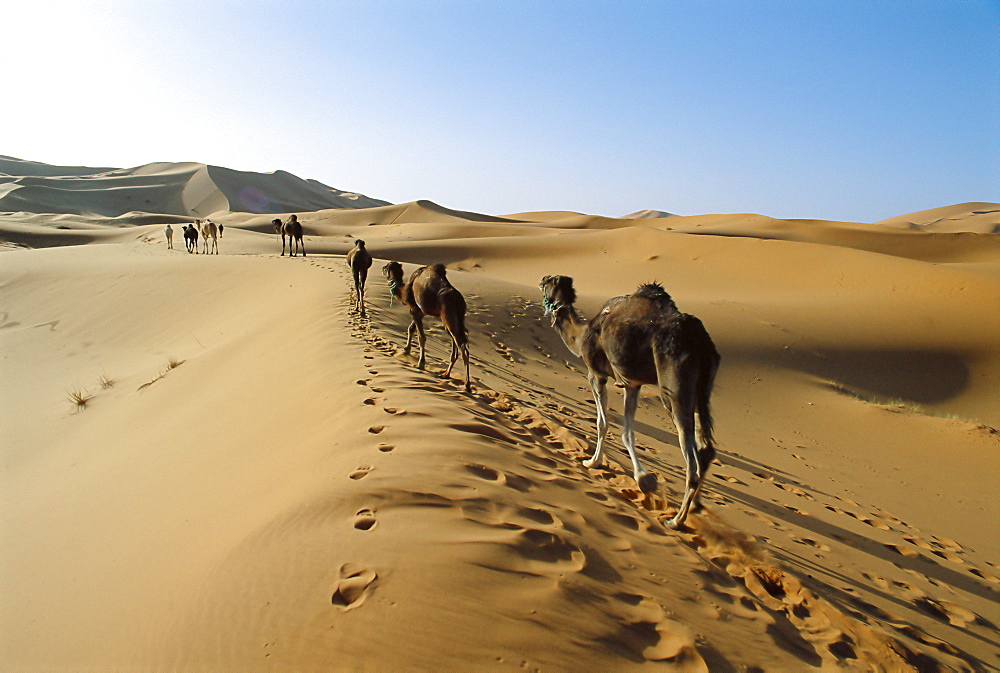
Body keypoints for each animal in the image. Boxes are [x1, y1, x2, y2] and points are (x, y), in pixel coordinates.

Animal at [386, 260, 472, 392]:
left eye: (386, 266)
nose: (382, 268)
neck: (405, 289)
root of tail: (459, 301)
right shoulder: (419, 311)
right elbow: (411, 328)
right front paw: (406, 349)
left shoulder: (414, 309)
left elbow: (421, 337)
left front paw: (420, 364)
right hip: (455, 320)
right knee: (456, 347)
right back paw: (446, 374)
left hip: (449, 317)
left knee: (463, 348)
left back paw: (467, 385)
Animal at [540, 276, 720, 528]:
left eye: (546, 282)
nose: (540, 280)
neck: (582, 334)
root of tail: (702, 342)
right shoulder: (632, 383)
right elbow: (627, 432)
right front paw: (641, 477)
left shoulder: (596, 374)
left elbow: (603, 424)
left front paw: (593, 463)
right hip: (702, 391)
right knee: (706, 448)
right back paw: (695, 505)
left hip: (674, 388)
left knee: (692, 463)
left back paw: (676, 521)